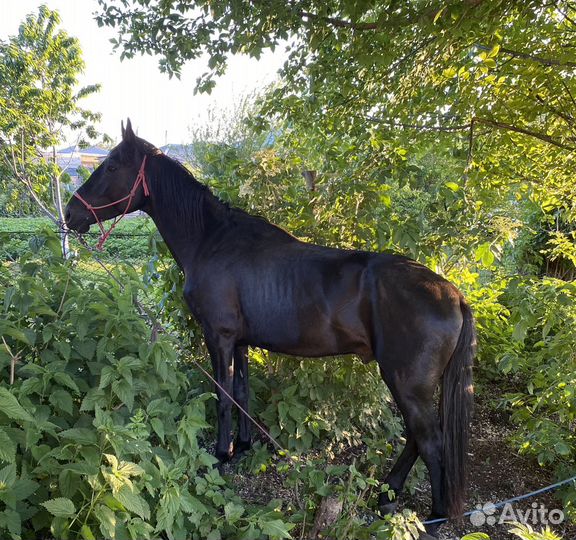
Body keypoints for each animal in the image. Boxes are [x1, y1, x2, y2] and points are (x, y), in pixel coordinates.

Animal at [65, 119, 474, 532]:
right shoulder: (240, 341)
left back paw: (434, 517)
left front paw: (221, 455)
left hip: (406, 382)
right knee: (416, 438)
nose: (70, 213)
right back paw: (387, 496)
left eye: (111, 166)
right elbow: (242, 393)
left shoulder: (219, 337)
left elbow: (224, 396)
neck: (211, 241)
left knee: (429, 441)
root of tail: (452, 293)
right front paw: (244, 446)